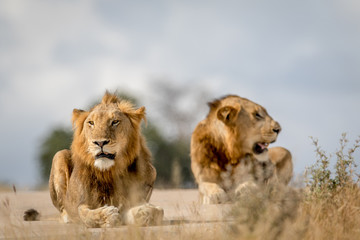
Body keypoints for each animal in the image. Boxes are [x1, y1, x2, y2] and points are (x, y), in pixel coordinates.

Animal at [48, 92, 163, 227]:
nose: (100, 142)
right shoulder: (80, 203)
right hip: (59, 155)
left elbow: (155, 211)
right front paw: (107, 215)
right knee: (63, 210)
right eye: (91, 123)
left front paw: (143, 212)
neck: (108, 172)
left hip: (152, 170)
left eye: (115, 122)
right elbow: (85, 215)